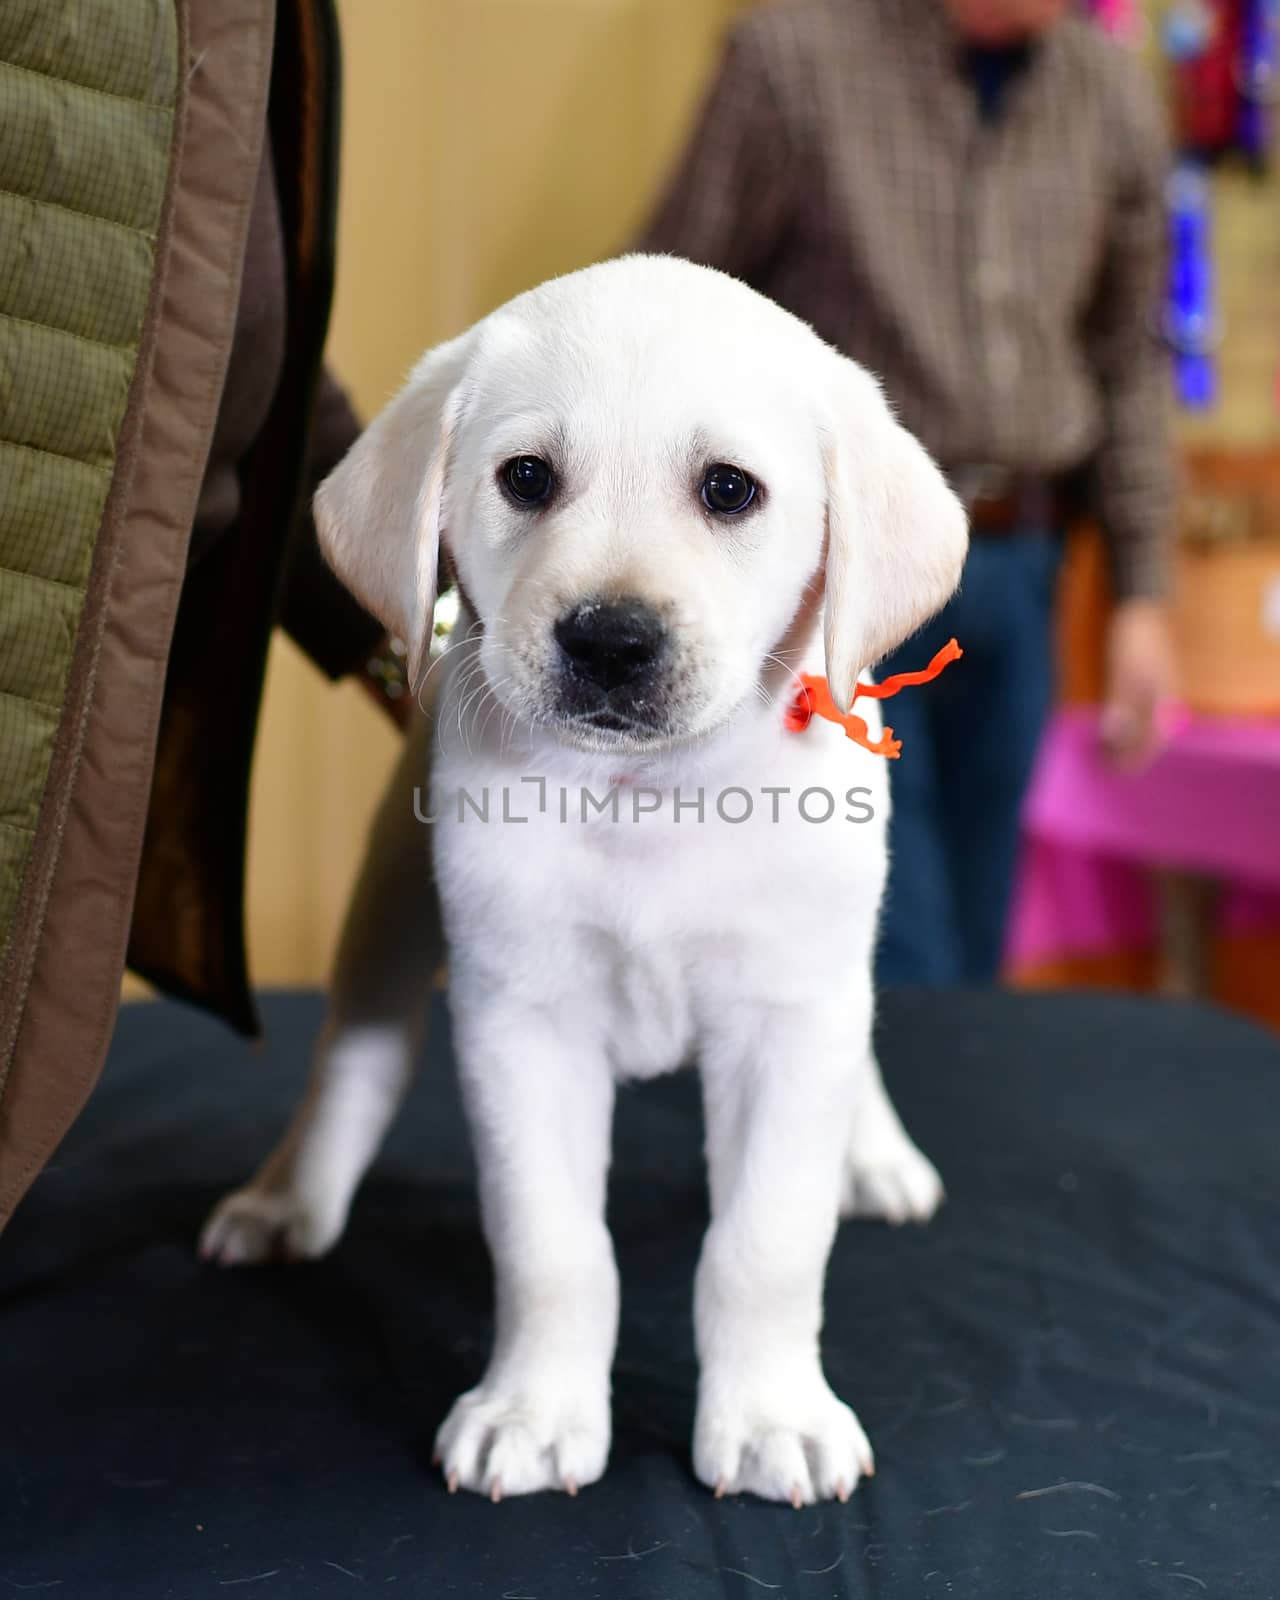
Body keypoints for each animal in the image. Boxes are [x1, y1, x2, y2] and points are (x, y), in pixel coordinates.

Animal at [200, 256, 966, 1504]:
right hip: (390, 913)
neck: (645, 798)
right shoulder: (523, 1020)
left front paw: (771, 1414)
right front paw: (534, 1409)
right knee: (354, 1066)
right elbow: (553, 1247)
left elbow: (763, 1243)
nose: (609, 639)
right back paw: (286, 1199)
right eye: (525, 477)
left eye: (728, 490)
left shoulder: (788, 1013)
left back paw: (876, 1152)